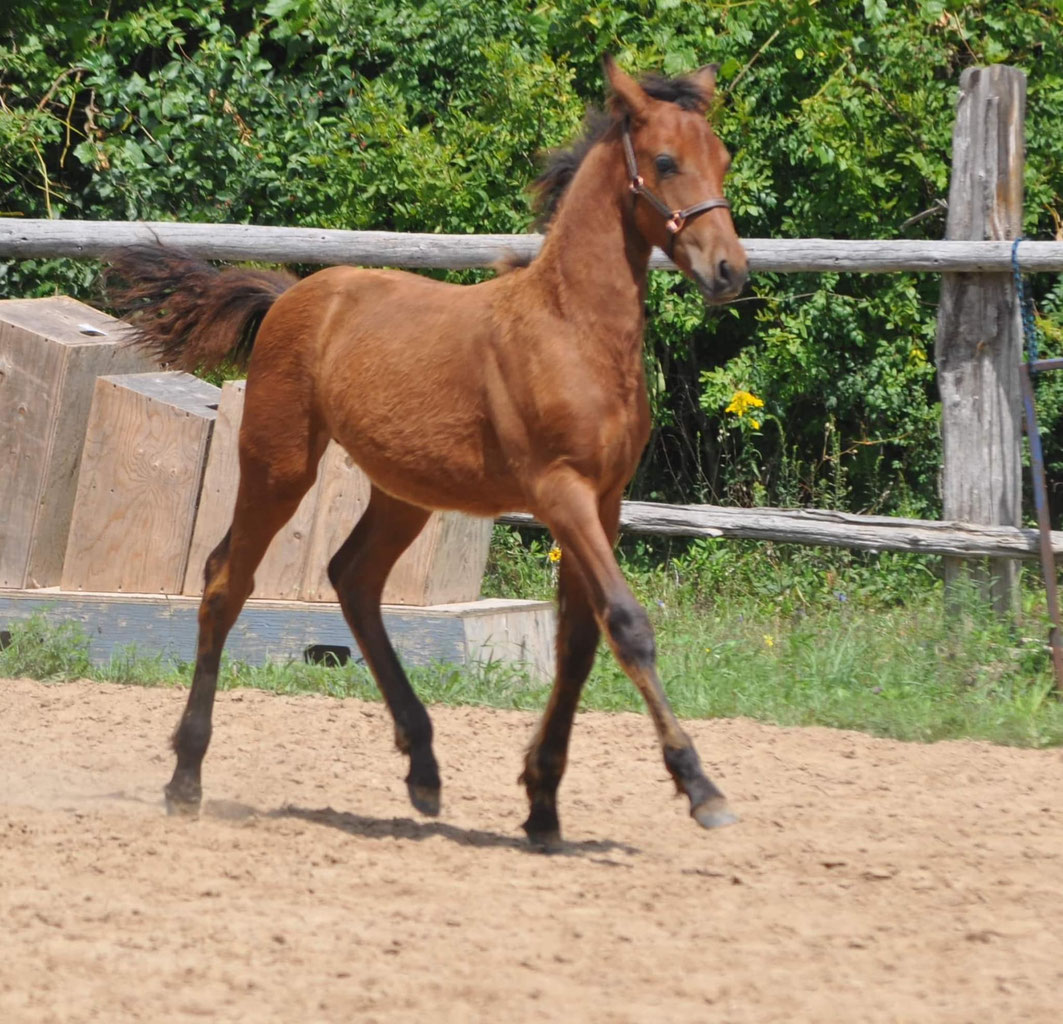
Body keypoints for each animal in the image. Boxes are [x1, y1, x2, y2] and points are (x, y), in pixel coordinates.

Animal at [106, 56, 748, 849]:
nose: (729, 271)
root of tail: (291, 294)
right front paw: (701, 789)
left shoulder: (603, 502)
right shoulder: (560, 493)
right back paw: (186, 778)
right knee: (228, 582)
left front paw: (542, 804)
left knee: (352, 579)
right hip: (279, 464)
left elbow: (577, 642)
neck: (572, 329)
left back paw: (423, 770)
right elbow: (628, 626)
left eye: (722, 156)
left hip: (403, 492)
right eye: (664, 161)